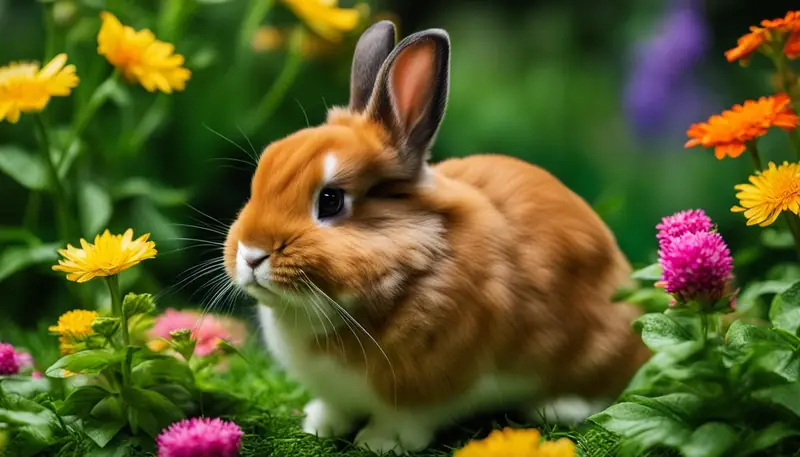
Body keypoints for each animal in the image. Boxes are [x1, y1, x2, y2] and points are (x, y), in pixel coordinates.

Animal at [223, 20, 651, 454]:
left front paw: (378, 442)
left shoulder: (431, 388)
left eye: (330, 200)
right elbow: (334, 407)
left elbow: (404, 419)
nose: (252, 254)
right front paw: (318, 425)